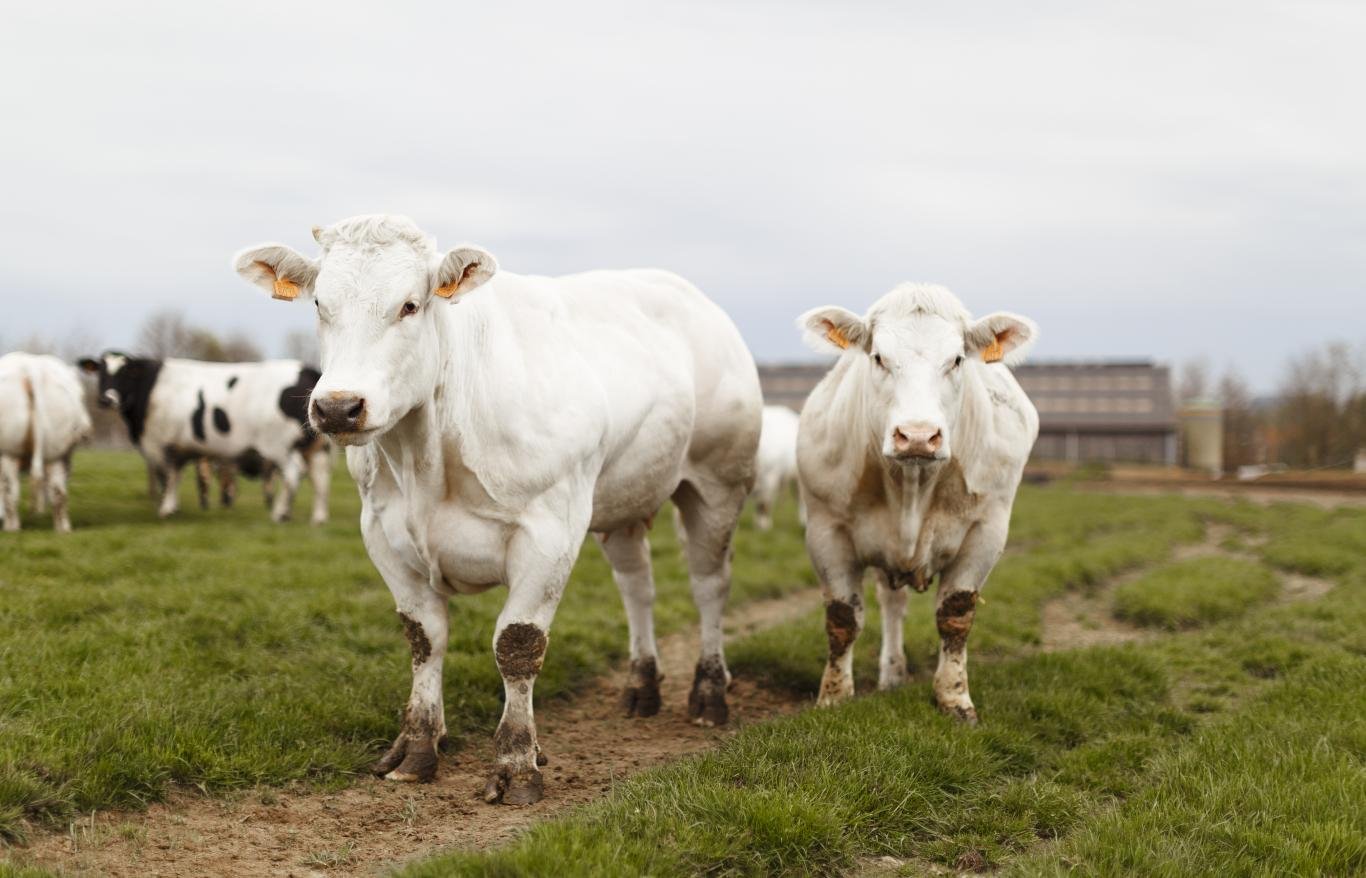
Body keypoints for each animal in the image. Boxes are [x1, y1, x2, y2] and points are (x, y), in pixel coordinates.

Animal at [0, 352, 92, 532]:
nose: (86, 431)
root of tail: (31, 368)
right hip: (56, 453)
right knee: (58, 492)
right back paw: (63, 529)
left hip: (9, 452)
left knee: (10, 492)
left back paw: (11, 528)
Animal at [77, 355, 333, 524]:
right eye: (101, 372)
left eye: (126, 373)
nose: (106, 399)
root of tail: (305, 369)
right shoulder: (179, 448)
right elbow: (176, 476)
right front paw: (174, 507)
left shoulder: (162, 444)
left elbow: (168, 477)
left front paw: (166, 509)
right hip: (315, 448)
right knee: (320, 479)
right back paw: (318, 518)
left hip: (279, 446)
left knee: (293, 474)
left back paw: (280, 514)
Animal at [236, 215, 770, 808]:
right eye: (319, 305)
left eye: (410, 305)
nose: (337, 407)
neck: (428, 460)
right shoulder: (381, 532)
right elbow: (424, 638)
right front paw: (418, 746)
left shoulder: (550, 533)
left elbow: (517, 645)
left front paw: (517, 763)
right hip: (623, 501)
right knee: (638, 587)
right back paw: (641, 686)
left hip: (717, 485)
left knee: (709, 585)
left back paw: (709, 694)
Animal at [797, 285, 1038, 726]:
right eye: (878, 357)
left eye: (957, 359)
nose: (918, 436)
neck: (910, 487)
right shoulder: (825, 531)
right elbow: (842, 618)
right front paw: (834, 697)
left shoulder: (986, 532)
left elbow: (955, 616)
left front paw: (954, 698)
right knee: (891, 604)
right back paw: (892, 673)